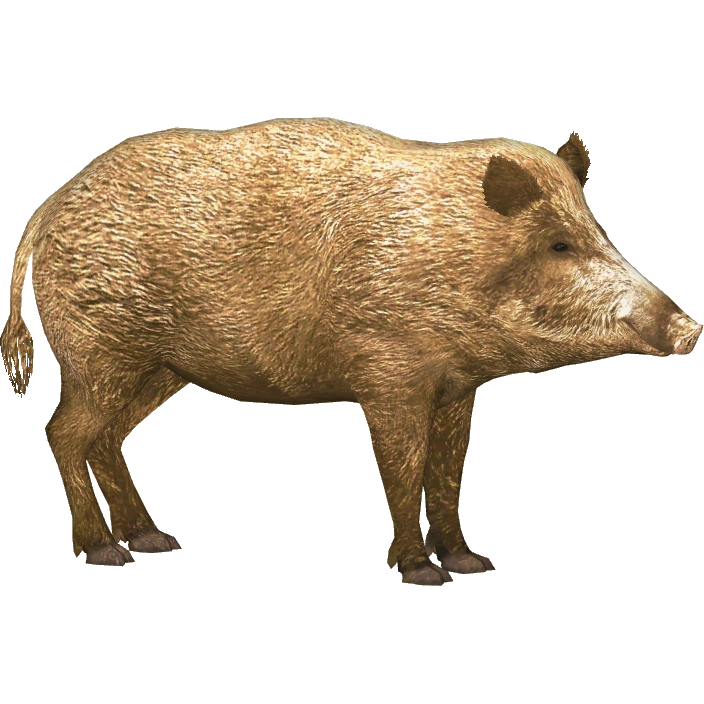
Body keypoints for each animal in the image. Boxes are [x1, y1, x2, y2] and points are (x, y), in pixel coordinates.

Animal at [1, 118, 700, 585]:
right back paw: (107, 554)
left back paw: (157, 541)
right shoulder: (389, 372)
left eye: (600, 231)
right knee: (63, 431)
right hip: (100, 350)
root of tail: (49, 208)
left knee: (105, 439)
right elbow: (405, 467)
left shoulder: (459, 385)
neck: (456, 263)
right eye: (558, 244)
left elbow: (449, 470)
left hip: (157, 369)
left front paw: (473, 562)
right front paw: (423, 574)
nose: (688, 329)